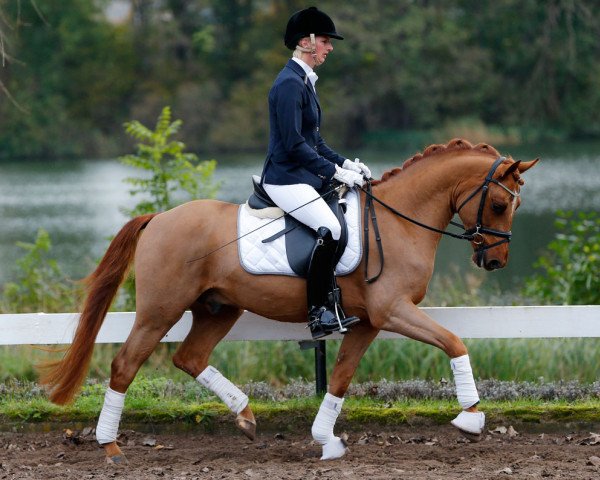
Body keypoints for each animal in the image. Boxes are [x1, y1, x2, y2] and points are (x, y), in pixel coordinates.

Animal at [41, 138, 540, 462]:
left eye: (515, 206)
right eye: (499, 204)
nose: (495, 261)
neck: (399, 221)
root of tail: (160, 217)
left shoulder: (368, 321)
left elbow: (340, 377)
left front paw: (325, 439)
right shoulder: (392, 311)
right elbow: (454, 341)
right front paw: (471, 418)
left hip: (218, 308)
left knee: (189, 357)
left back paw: (245, 416)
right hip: (159, 310)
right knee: (126, 364)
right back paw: (110, 446)